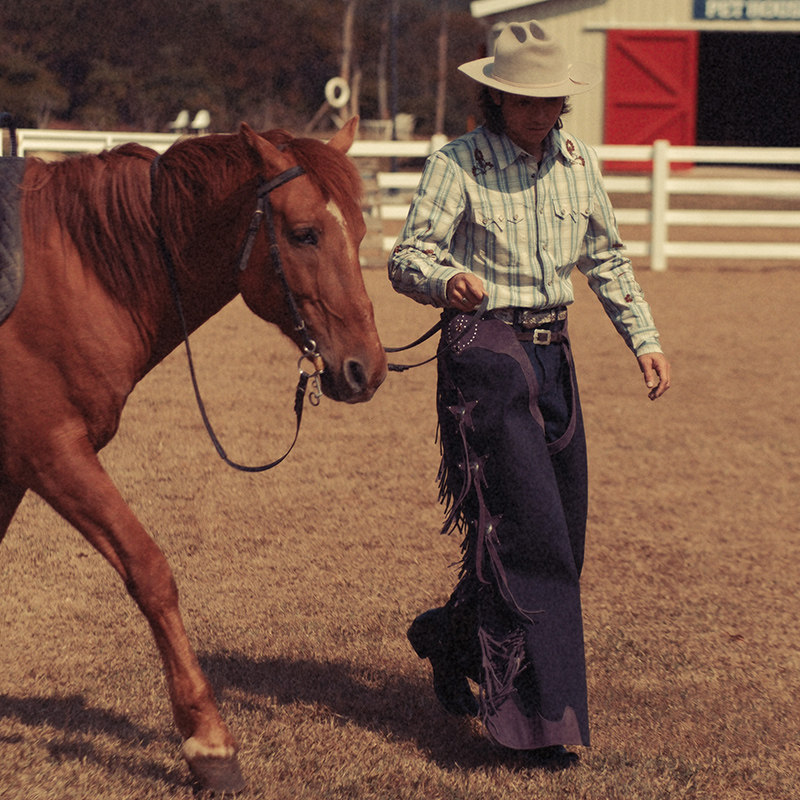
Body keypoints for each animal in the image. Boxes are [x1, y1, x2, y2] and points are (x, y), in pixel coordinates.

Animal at [0, 117, 386, 792]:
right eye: (305, 234)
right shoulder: (51, 452)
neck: (74, 270)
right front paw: (209, 743)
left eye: (362, 234)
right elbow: (151, 571)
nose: (367, 367)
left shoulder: (13, 468)